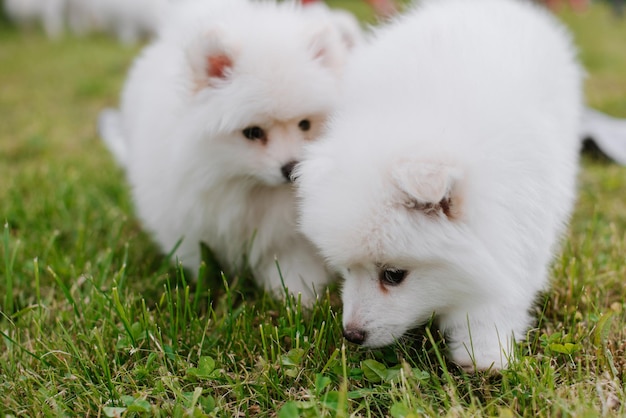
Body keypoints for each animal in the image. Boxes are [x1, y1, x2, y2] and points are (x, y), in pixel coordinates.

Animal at [99, 0, 348, 302]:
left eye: (305, 125)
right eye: (253, 132)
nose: (291, 168)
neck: (248, 189)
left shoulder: (290, 238)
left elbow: (293, 265)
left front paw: (296, 298)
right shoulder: (190, 223)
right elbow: (201, 260)